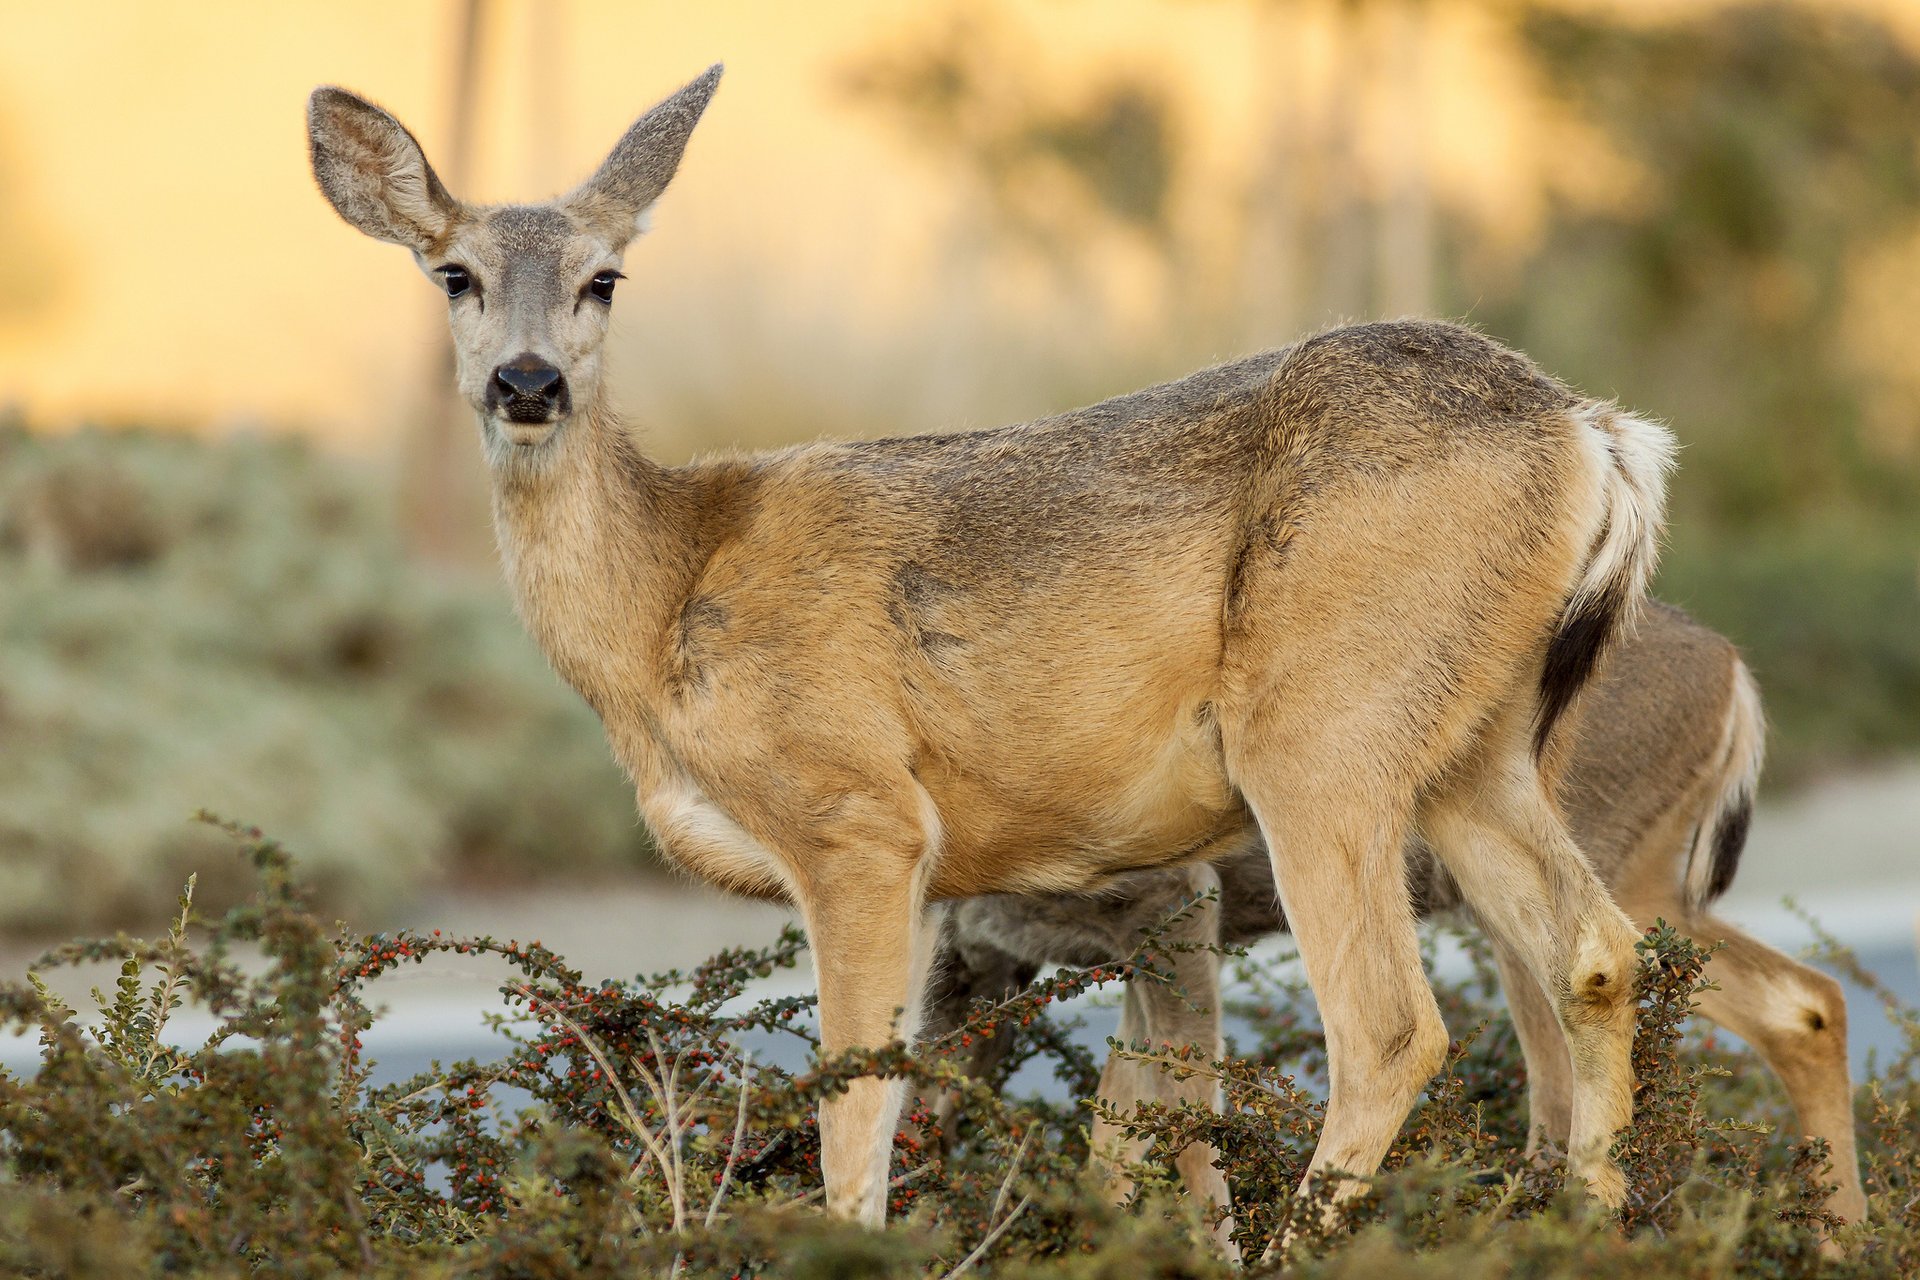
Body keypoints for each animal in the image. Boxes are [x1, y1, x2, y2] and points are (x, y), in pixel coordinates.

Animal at [307, 66, 1674, 1228]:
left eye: (605, 278)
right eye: (454, 275)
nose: (528, 384)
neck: (666, 604)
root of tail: (1594, 432)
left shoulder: (858, 815)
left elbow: (857, 1104)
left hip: (1322, 726)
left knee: (1391, 1023)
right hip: (1477, 741)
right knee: (1597, 953)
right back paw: (1586, 1220)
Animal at [929, 602, 1865, 1254]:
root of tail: (1734, 674)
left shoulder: (1173, 905)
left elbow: (1172, 1126)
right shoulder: (981, 968)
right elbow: (1084, 1133)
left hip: (1595, 873)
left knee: (1573, 1082)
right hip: (1645, 884)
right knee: (1805, 1002)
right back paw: (1843, 1243)